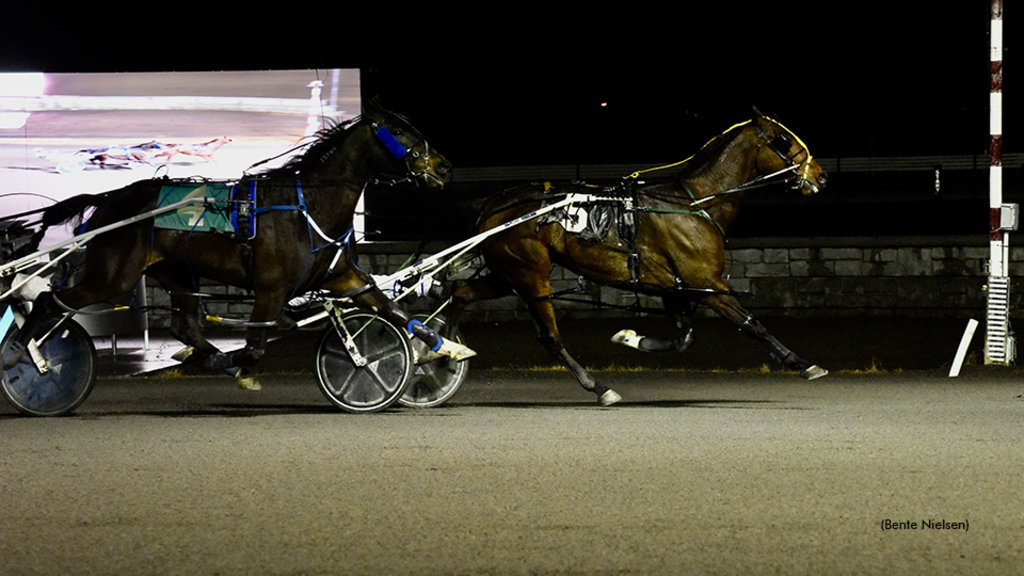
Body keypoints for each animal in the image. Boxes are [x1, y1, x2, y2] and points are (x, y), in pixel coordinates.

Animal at [452, 107, 827, 403]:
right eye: (783, 140)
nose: (820, 176)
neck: (692, 204)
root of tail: (491, 205)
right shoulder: (707, 284)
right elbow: (752, 324)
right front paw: (804, 363)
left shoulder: (675, 287)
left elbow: (685, 338)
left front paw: (629, 337)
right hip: (531, 273)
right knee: (549, 336)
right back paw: (599, 387)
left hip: (507, 274)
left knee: (460, 293)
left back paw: (450, 351)